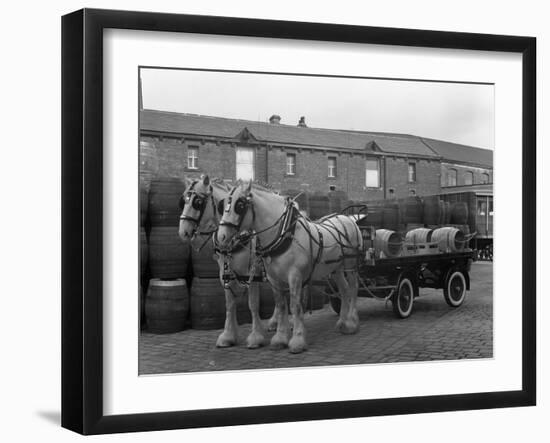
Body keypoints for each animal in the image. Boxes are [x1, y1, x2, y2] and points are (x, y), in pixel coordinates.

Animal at [180, 175, 284, 348]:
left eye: (198, 202)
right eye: (184, 200)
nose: (183, 232)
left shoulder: (252, 273)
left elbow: (253, 304)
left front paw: (256, 336)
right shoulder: (225, 271)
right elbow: (230, 304)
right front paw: (228, 335)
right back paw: (275, 322)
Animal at [218, 180, 364, 354]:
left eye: (239, 205)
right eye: (222, 205)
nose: (221, 236)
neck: (283, 233)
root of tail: (347, 219)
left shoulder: (294, 276)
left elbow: (295, 306)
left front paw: (297, 340)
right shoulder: (274, 279)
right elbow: (281, 305)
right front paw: (280, 338)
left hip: (350, 265)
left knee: (353, 288)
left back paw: (352, 322)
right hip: (336, 268)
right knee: (344, 289)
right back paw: (343, 322)